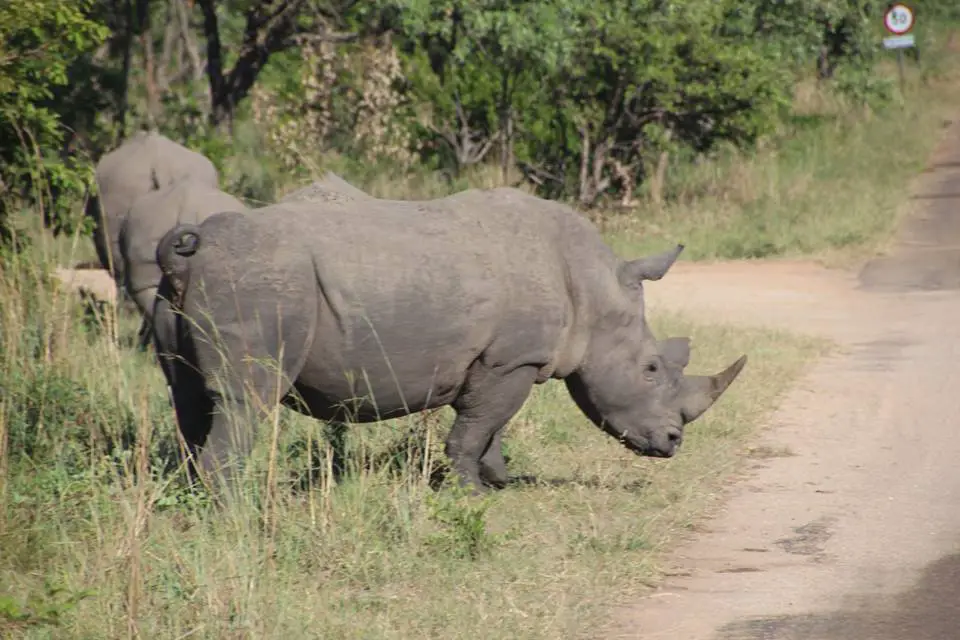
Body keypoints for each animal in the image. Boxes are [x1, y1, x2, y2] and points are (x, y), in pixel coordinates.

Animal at [152, 188, 752, 492]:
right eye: (651, 369)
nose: (673, 442)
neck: (594, 287)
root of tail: (195, 248)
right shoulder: (513, 359)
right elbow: (477, 426)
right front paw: (469, 494)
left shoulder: (506, 361)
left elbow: (491, 425)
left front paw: (498, 481)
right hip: (260, 282)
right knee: (246, 400)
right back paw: (239, 515)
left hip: (192, 292)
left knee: (191, 398)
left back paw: (192, 502)